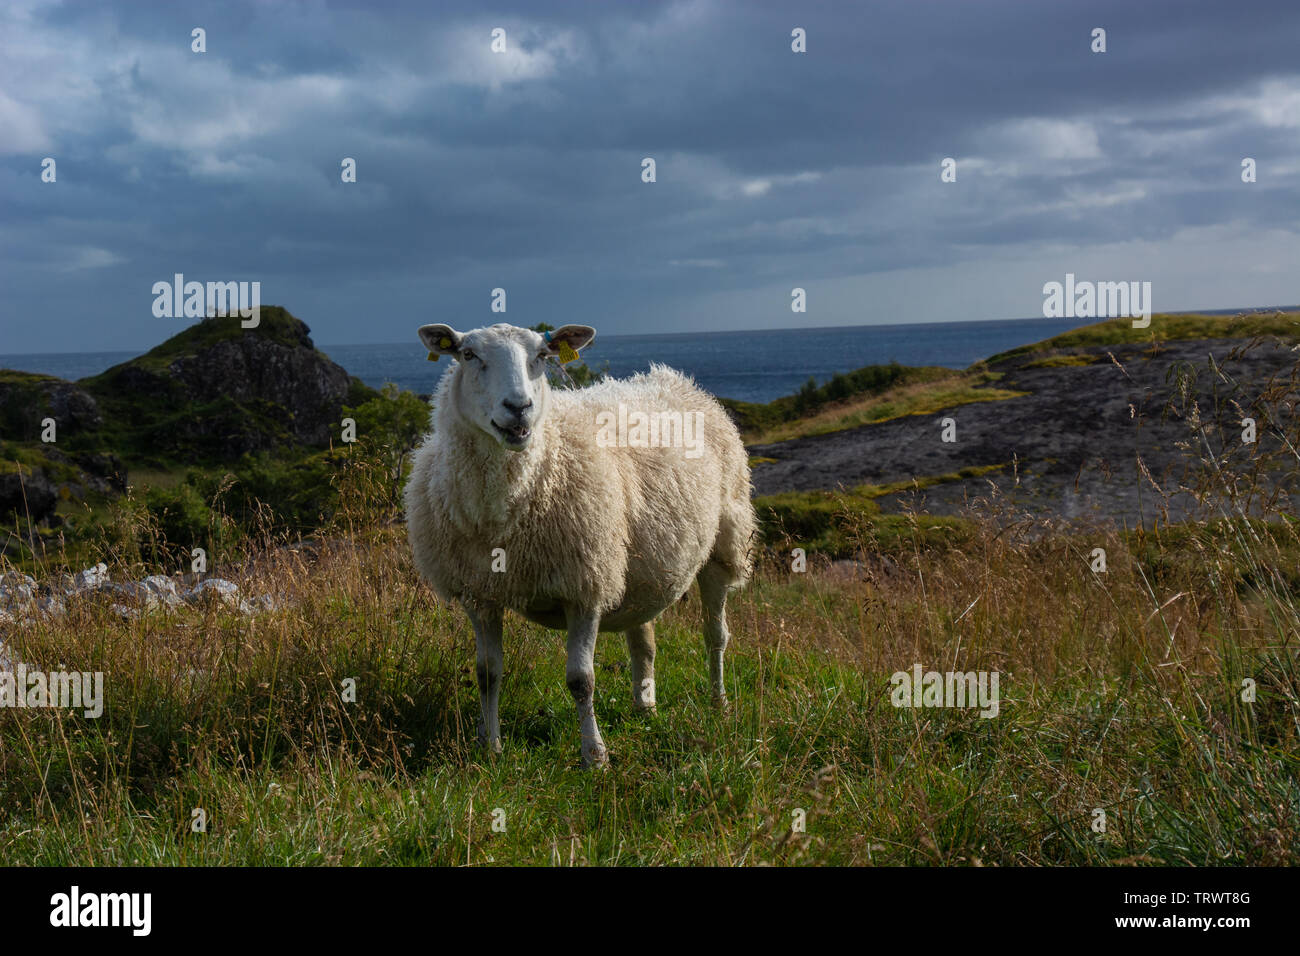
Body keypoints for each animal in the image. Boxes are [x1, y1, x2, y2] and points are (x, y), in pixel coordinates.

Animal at [400, 325, 759, 764]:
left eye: (542, 355)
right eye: (468, 355)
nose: (519, 407)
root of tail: (673, 379)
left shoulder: (585, 586)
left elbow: (581, 680)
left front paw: (594, 755)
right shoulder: (479, 594)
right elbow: (487, 674)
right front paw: (491, 748)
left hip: (724, 543)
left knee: (715, 634)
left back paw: (718, 702)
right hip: (638, 567)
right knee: (644, 641)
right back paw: (645, 705)